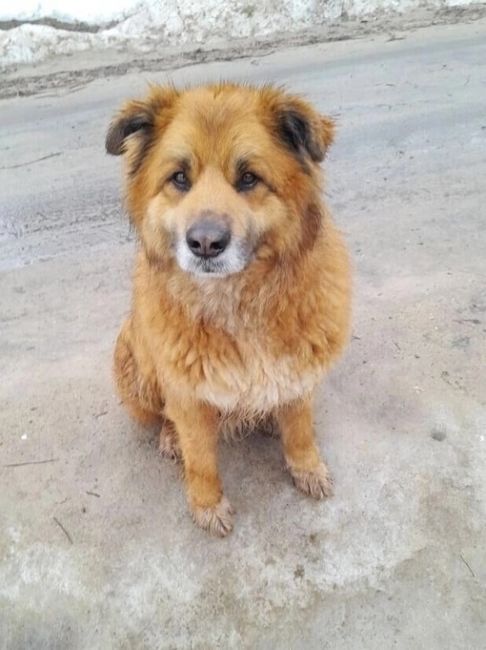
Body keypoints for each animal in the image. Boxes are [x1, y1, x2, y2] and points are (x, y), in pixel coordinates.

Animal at [105, 83, 350, 536]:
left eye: (249, 178)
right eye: (179, 178)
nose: (204, 243)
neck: (237, 303)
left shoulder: (299, 374)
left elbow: (300, 431)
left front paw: (307, 467)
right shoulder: (187, 394)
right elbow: (200, 457)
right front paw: (207, 504)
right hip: (135, 362)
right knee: (162, 415)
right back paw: (170, 437)